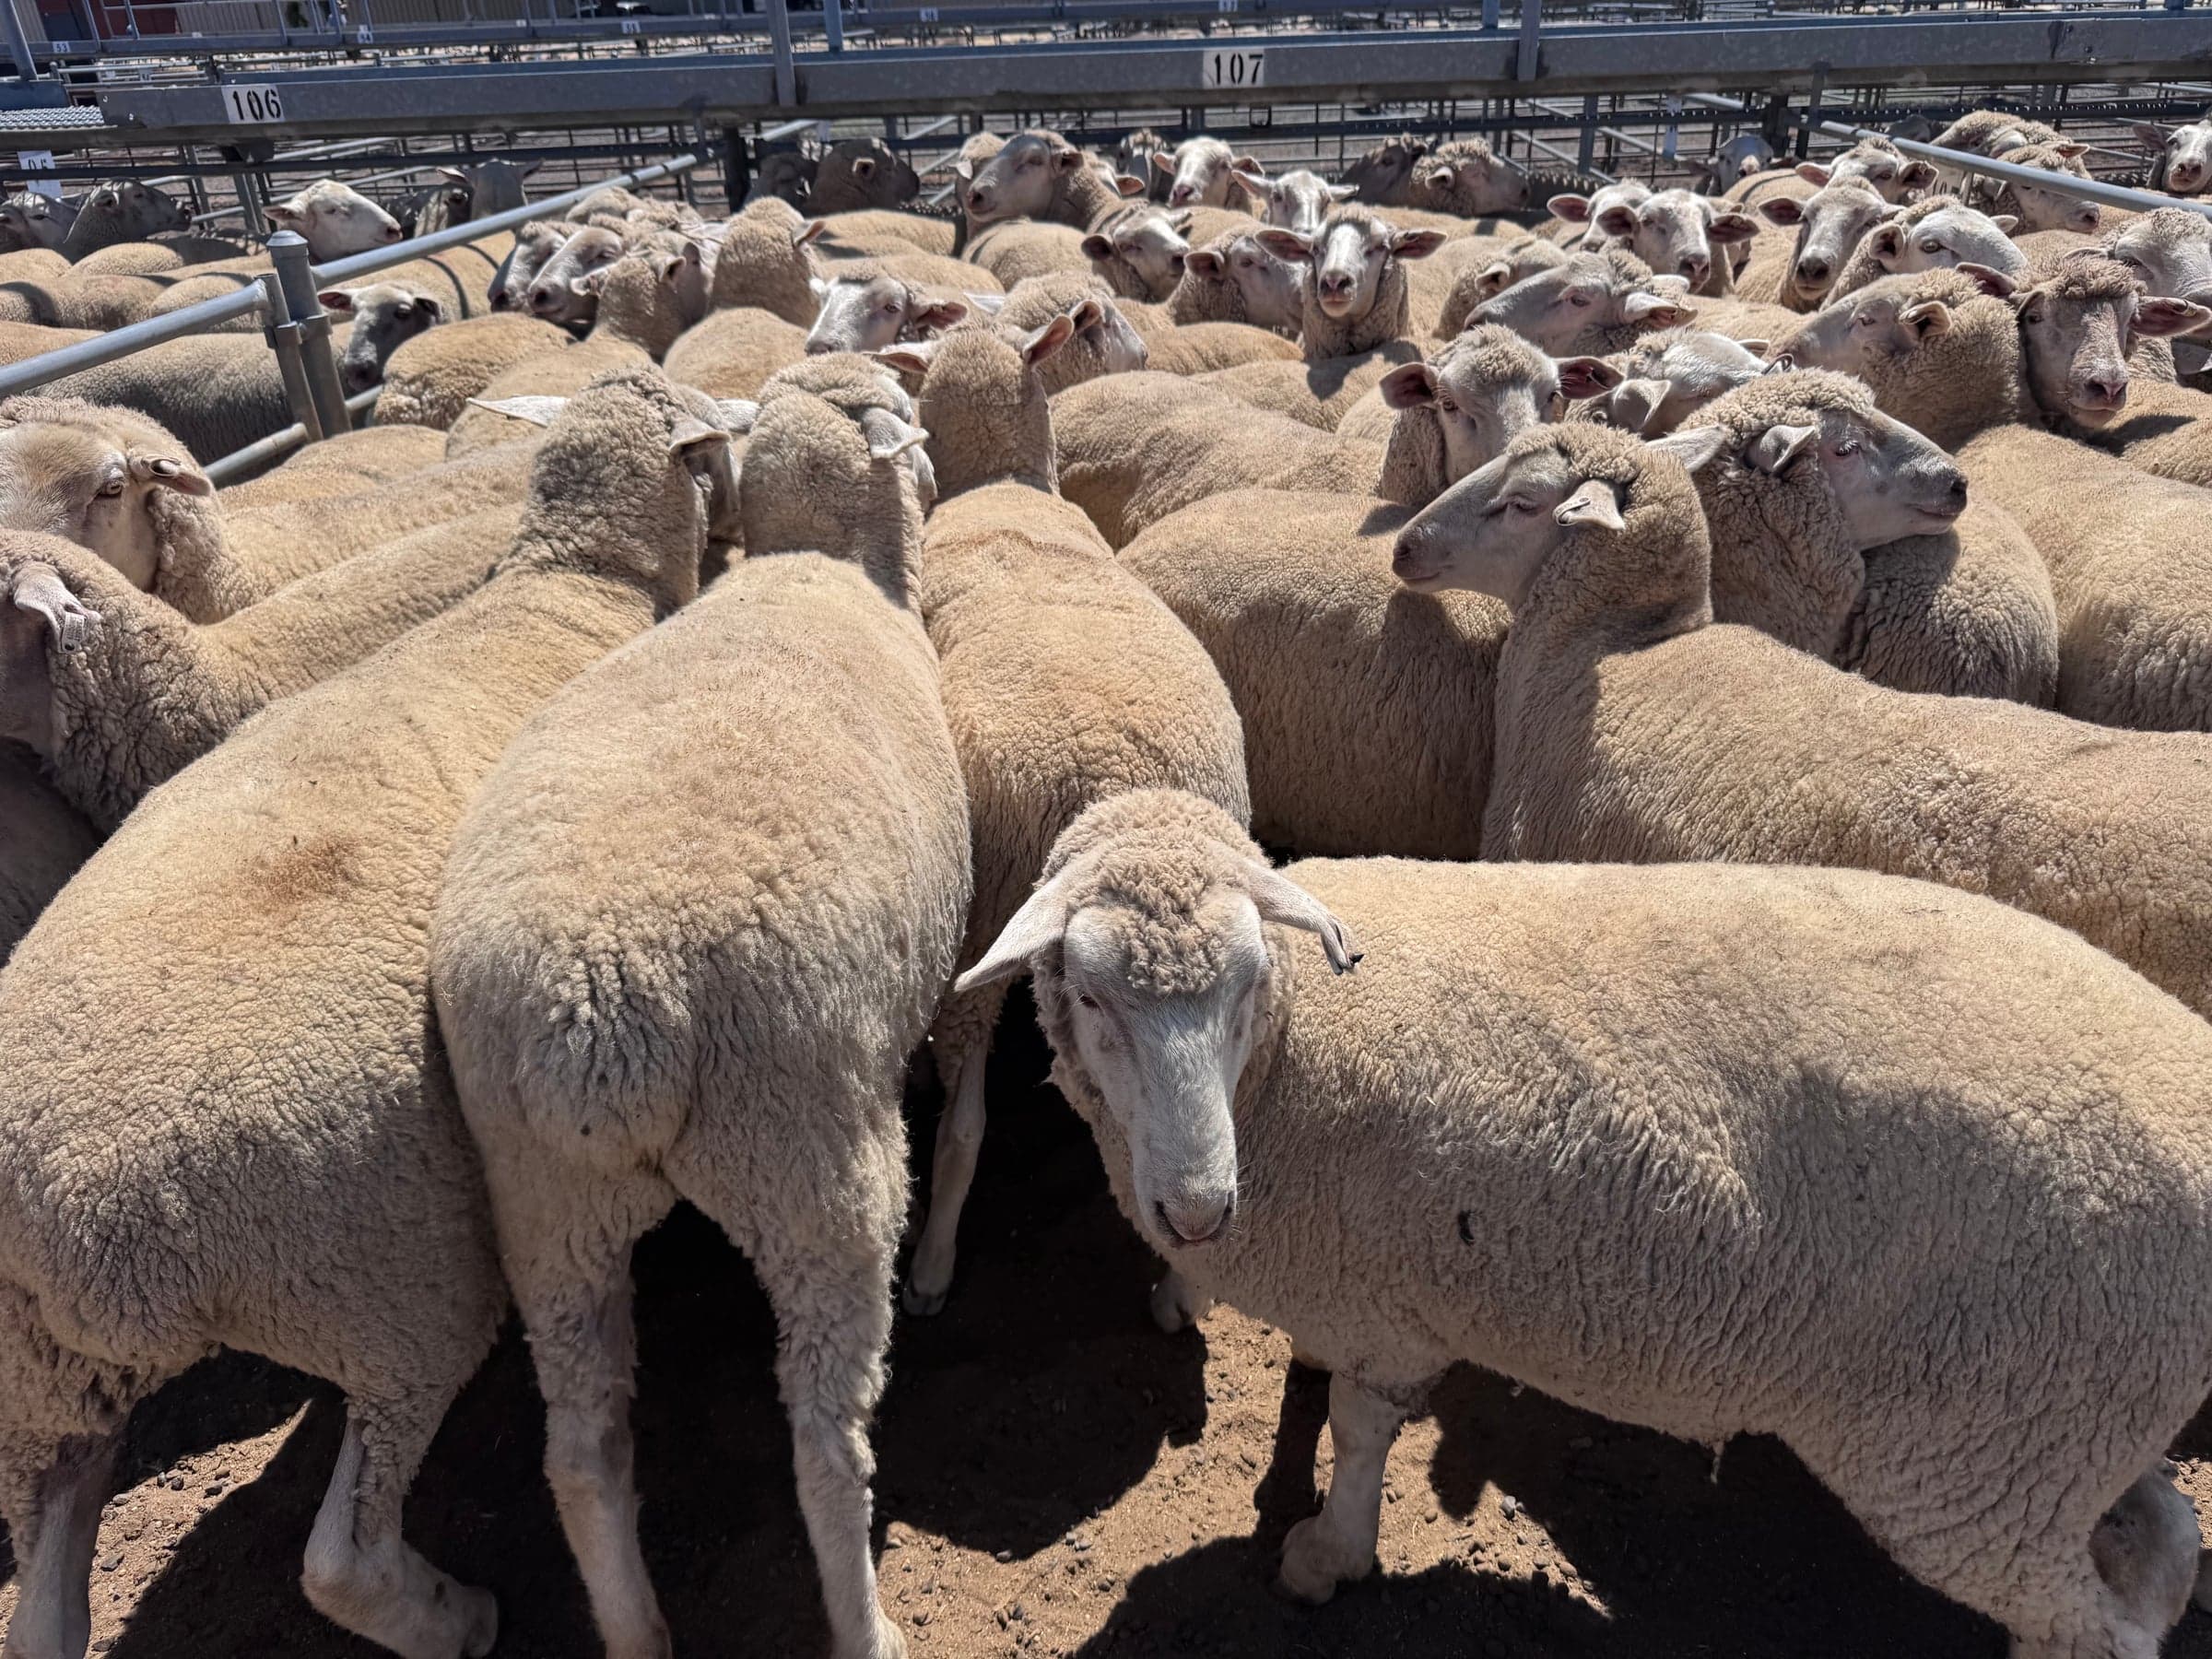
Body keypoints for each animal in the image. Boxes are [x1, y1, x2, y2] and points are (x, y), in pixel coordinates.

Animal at [427, 362, 953, 1659]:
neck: (823, 562)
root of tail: (602, 1013)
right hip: (814, 1170)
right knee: (824, 1444)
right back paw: (868, 1624)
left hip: (545, 1208)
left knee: (583, 1453)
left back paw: (636, 1630)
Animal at [960, 784, 2212, 1659]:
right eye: (1089, 996)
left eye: (1249, 984)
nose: (1201, 1207)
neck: (1295, 1057)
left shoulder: (1386, 1308)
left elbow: (1361, 1434)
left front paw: (1328, 1557)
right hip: (2061, 1420)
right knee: (2160, 1551)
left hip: (1968, 1450)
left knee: (2094, 1625)